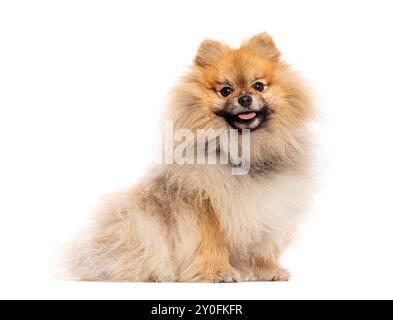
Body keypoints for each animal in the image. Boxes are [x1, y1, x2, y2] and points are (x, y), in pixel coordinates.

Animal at [66, 33, 314, 282]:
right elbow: (211, 243)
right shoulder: (203, 206)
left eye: (258, 86)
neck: (245, 149)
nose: (244, 98)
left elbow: (264, 245)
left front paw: (268, 271)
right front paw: (219, 272)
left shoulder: (271, 204)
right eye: (226, 90)